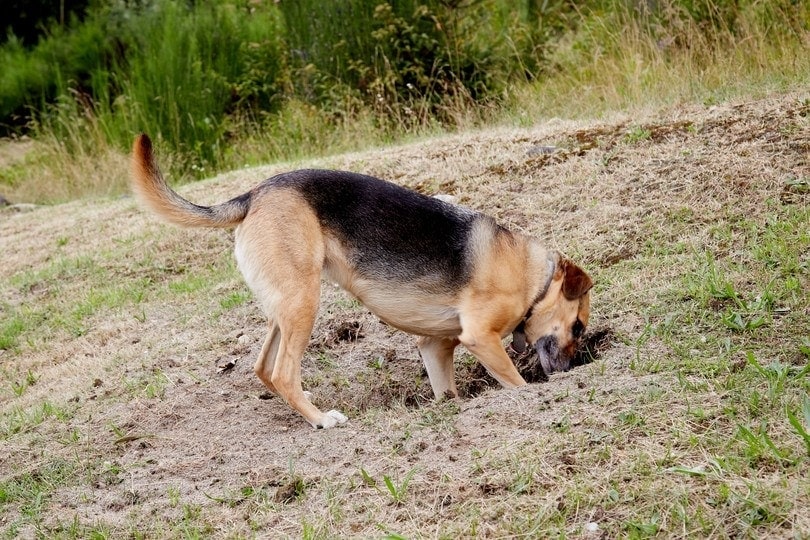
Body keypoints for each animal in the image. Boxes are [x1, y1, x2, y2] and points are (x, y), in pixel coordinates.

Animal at [129, 135, 592, 430]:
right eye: (578, 327)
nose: (572, 370)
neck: (534, 279)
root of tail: (255, 193)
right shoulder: (481, 338)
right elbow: (515, 383)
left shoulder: (435, 345)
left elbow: (447, 390)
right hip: (304, 302)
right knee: (283, 373)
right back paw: (320, 420)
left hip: (285, 306)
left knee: (263, 368)